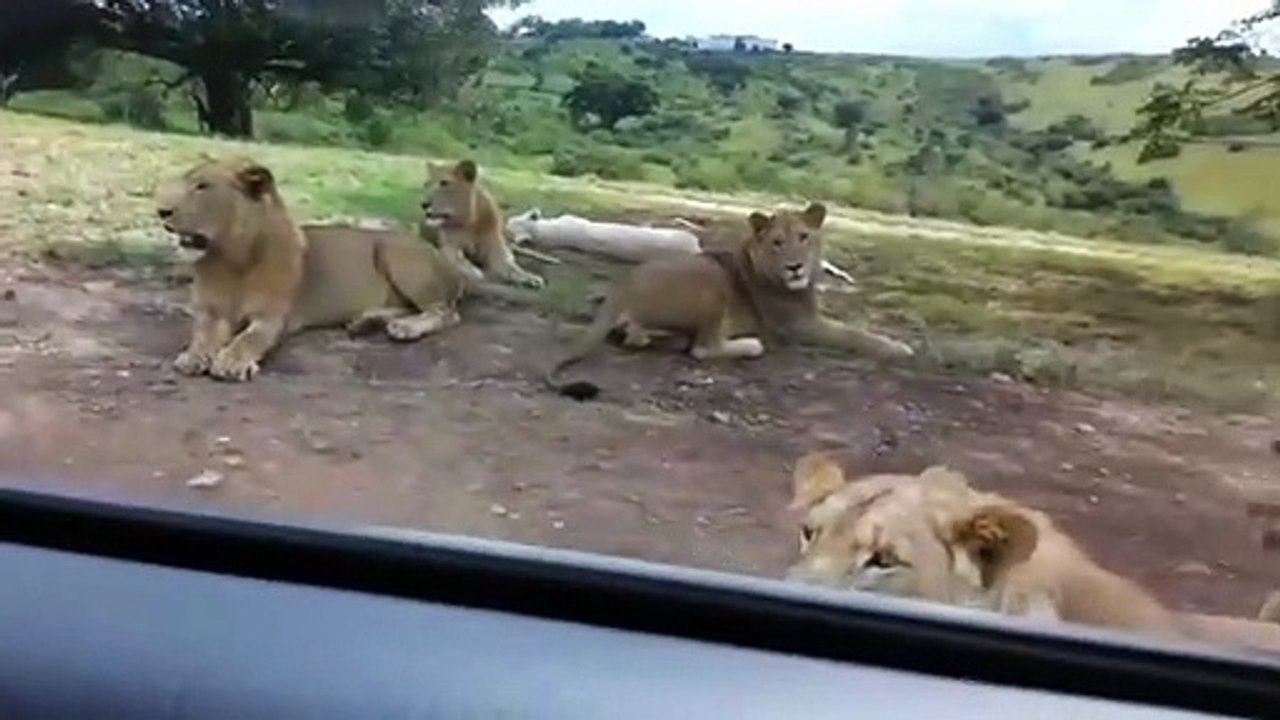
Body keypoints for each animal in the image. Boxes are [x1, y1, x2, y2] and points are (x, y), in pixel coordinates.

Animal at [420, 159, 545, 290]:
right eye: (426, 184)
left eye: (444, 183)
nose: (423, 204)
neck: (469, 221)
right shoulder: (449, 247)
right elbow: (459, 259)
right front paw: (473, 272)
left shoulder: (494, 248)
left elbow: (510, 267)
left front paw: (529, 277)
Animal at [543, 203, 915, 400]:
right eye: (778, 242)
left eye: (804, 237)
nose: (795, 266)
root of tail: (623, 286)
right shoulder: (799, 325)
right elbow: (853, 334)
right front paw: (899, 348)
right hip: (712, 283)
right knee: (702, 348)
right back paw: (749, 345)